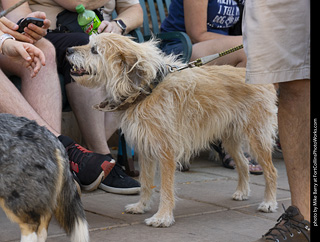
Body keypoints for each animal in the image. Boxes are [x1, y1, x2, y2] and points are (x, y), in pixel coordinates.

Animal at [66, 33, 278, 228]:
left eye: (95, 50)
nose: (67, 50)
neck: (147, 89)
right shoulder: (145, 149)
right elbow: (146, 182)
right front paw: (141, 206)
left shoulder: (166, 151)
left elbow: (166, 187)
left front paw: (162, 217)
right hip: (230, 140)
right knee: (243, 164)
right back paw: (242, 192)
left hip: (257, 138)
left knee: (271, 170)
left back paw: (269, 202)